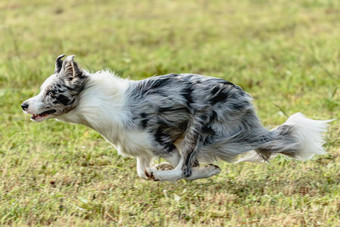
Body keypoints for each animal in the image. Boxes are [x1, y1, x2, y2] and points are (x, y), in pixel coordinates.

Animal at [20, 55, 330, 181]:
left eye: (50, 92)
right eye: (41, 89)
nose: (23, 105)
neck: (91, 100)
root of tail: (242, 97)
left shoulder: (164, 143)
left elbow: (180, 167)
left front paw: (171, 172)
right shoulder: (140, 147)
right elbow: (141, 171)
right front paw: (153, 171)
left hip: (198, 128)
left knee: (185, 170)